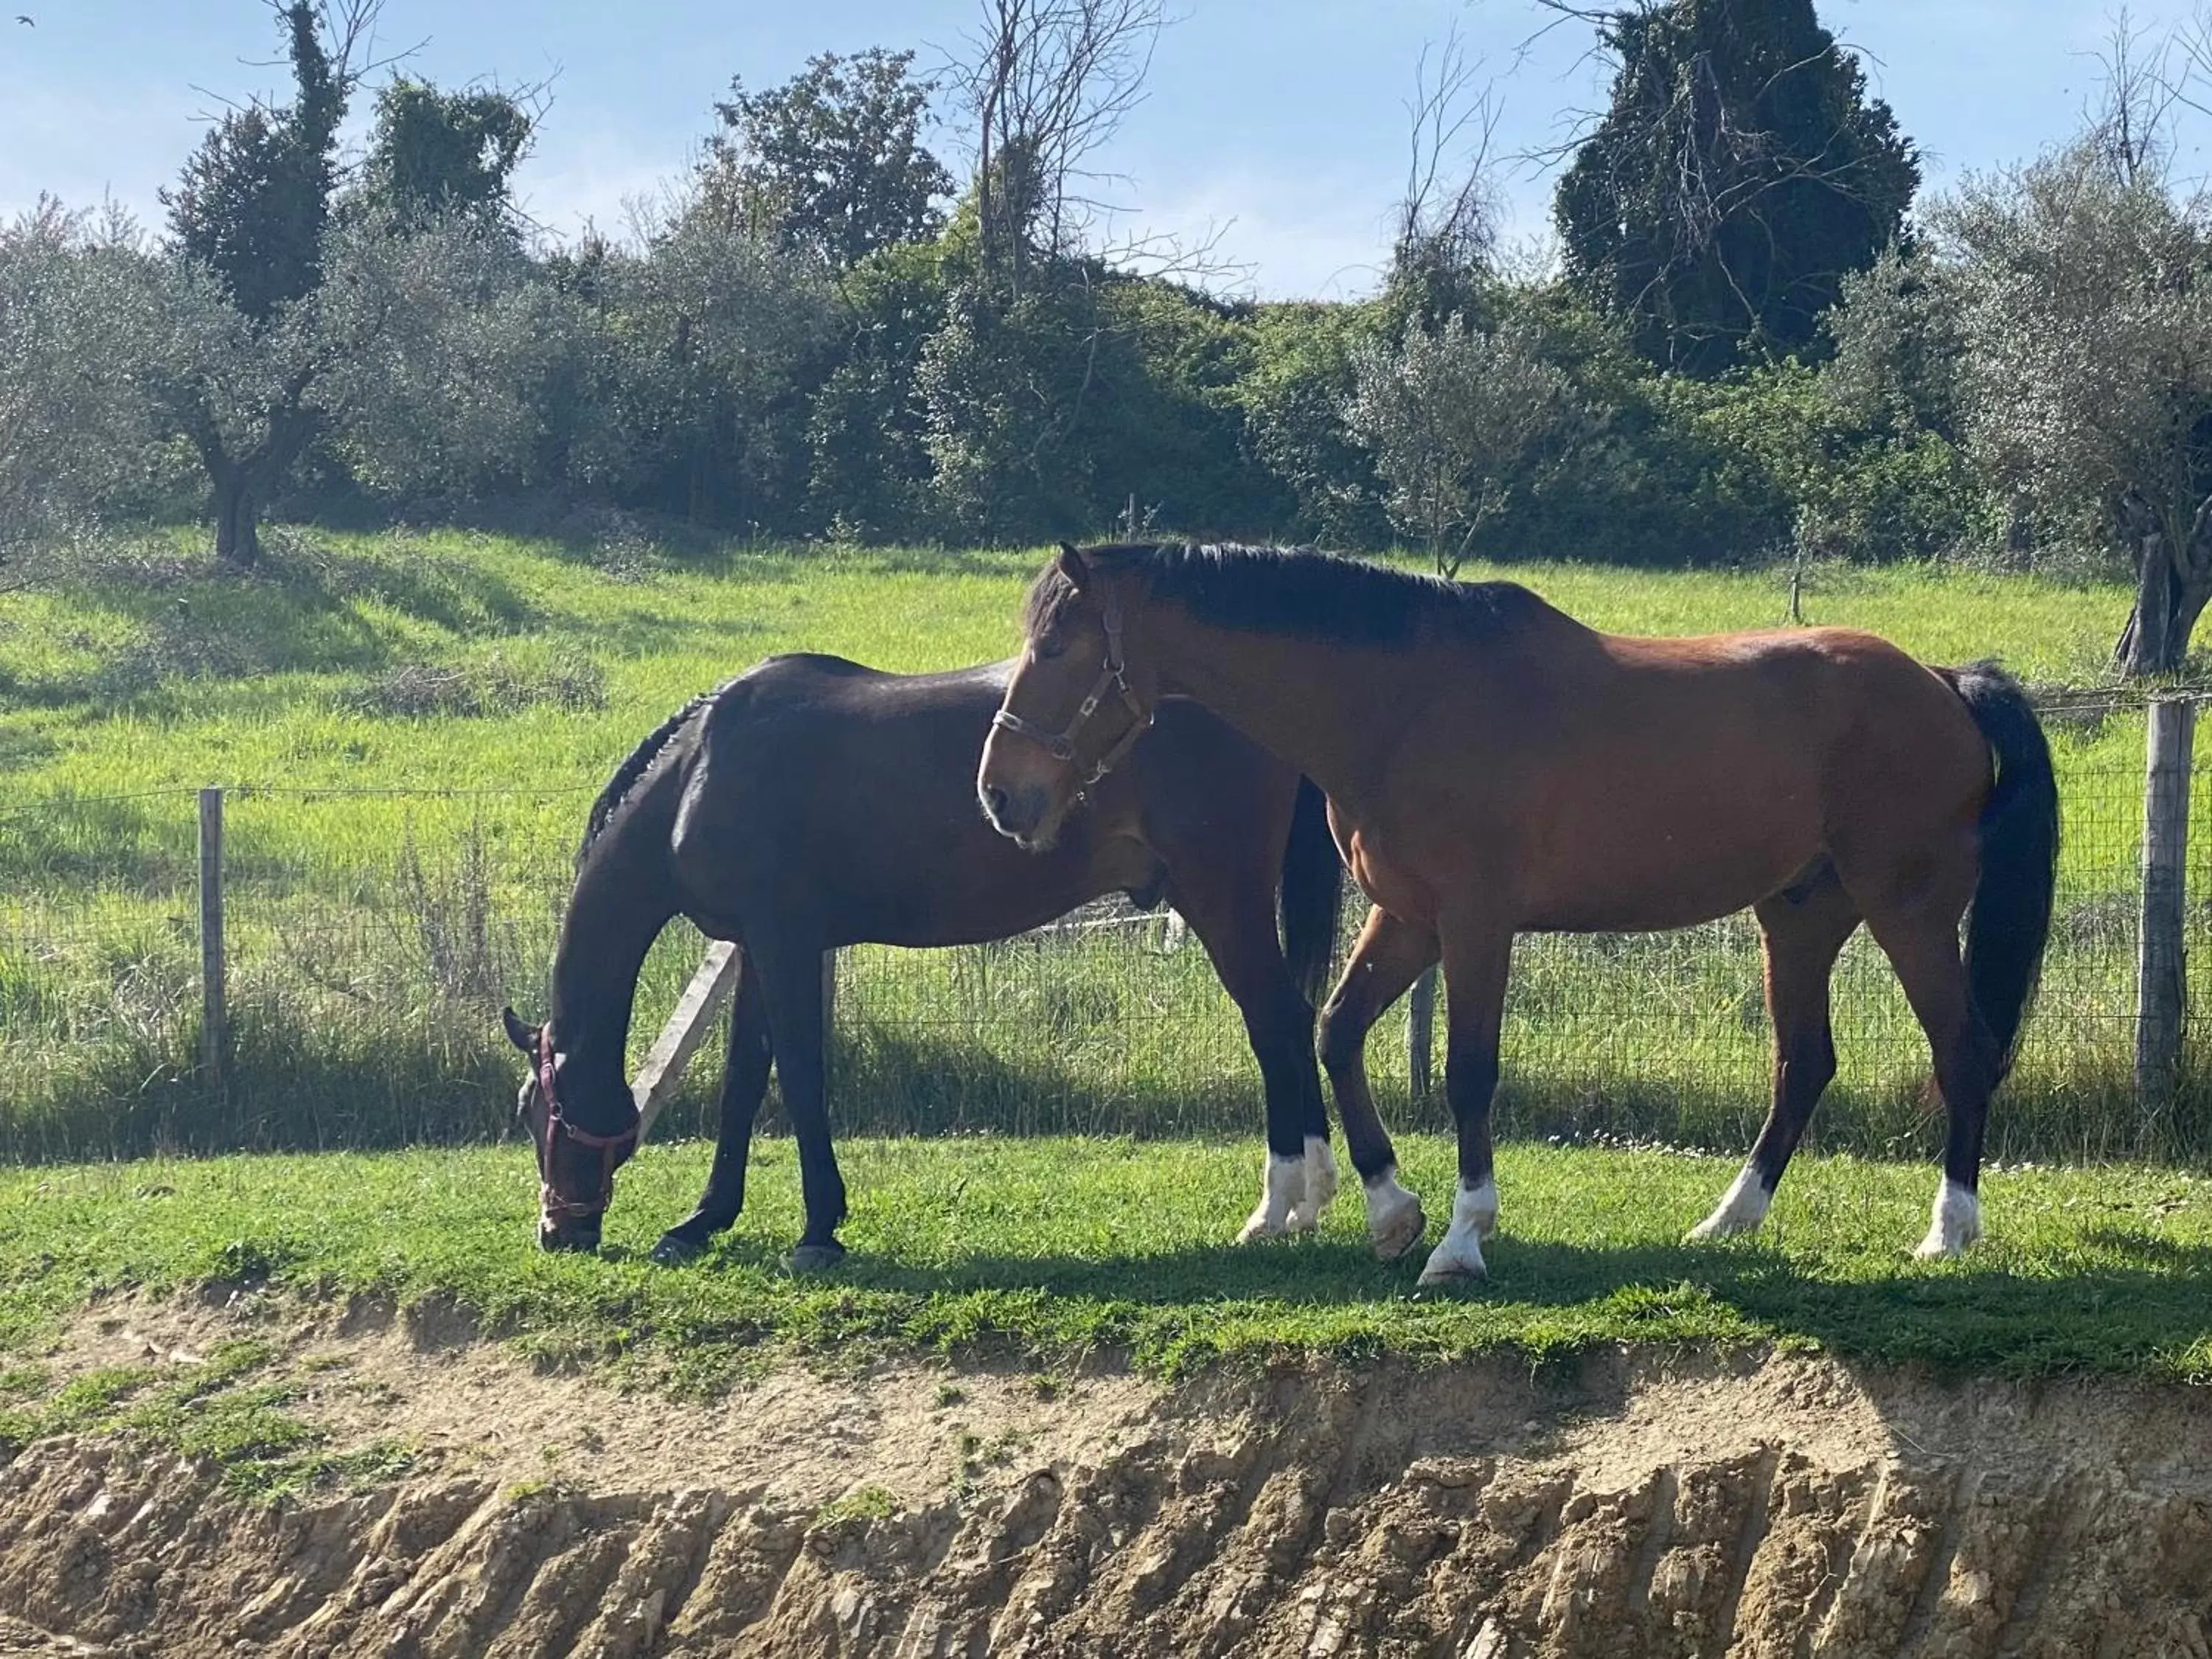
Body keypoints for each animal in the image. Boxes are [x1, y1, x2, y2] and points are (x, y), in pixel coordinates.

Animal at [498, 655, 1345, 1265]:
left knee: (1276, 1023)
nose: (558, 1232)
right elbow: (743, 1084)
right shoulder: (755, 948)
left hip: (1220, 901)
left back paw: (1283, 1207)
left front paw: (818, 1231)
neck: (699, 772)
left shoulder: (786, 942)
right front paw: (702, 1220)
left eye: (533, 1108)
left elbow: (799, 1077)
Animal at [982, 542, 2053, 1283]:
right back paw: (1728, 1221)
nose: (1001, 794)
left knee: (1963, 1048)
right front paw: (1391, 1211)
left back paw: (1949, 1231)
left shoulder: (1474, 923)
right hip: (1798, 917)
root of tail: (1945, 682)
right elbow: (1335, 1034)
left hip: (1906, 909)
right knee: (1804, 1065)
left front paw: (1461, 1238)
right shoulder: (1406, 918)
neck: (1401, 705)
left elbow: (1467, 1074)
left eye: (1060, 645)